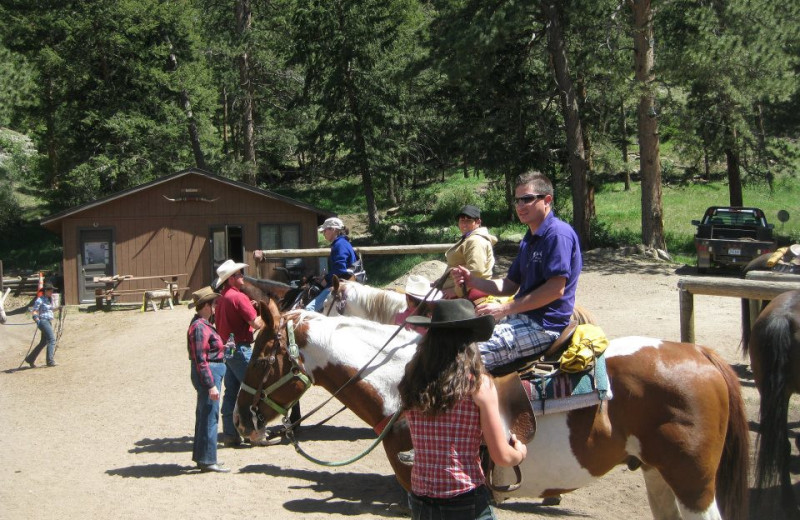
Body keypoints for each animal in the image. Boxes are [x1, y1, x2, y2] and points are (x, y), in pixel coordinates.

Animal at [238, 300, 752, 520]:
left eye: (261, 357)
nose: (242, 421)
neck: (403, 384)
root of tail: (701, 353)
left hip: (693, 484)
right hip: (657, 475)